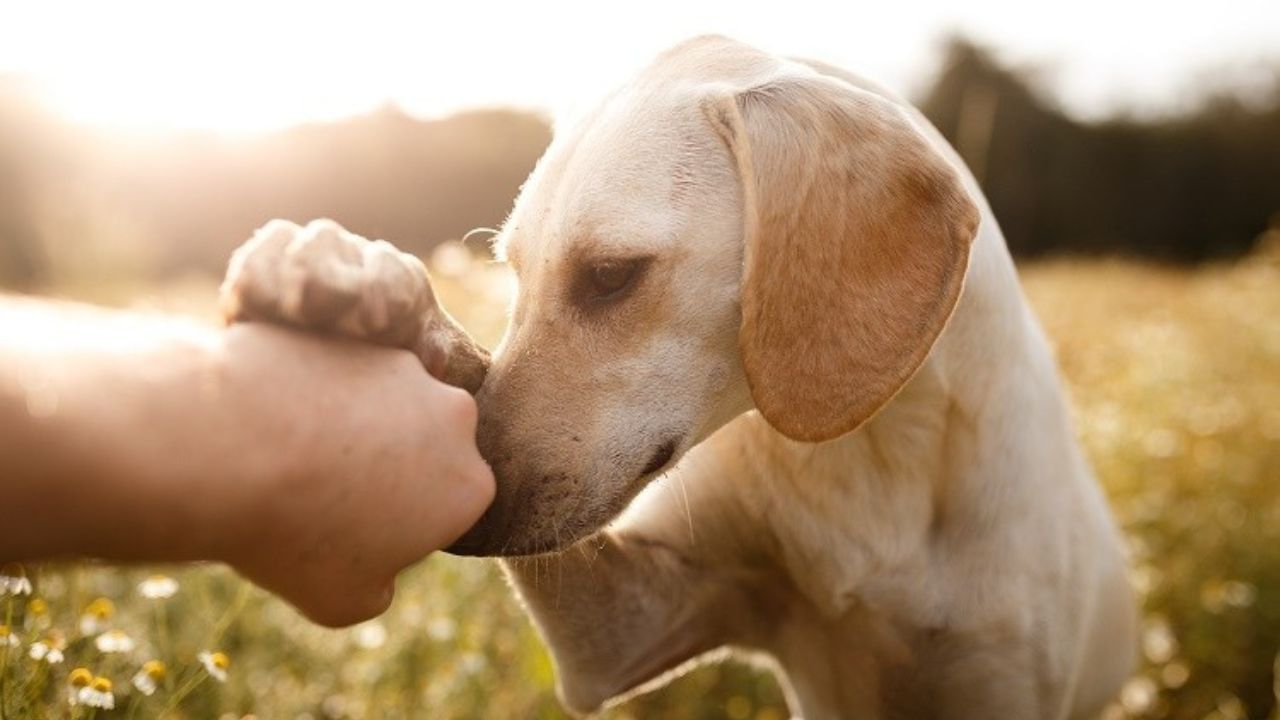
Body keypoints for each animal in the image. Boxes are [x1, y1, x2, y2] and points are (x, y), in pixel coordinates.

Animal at [220, 35, 1131, 717]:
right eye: (512, 272)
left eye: (611, 275)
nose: (470, 522)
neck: (865, 458)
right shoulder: (624, 633)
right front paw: (360, 280)